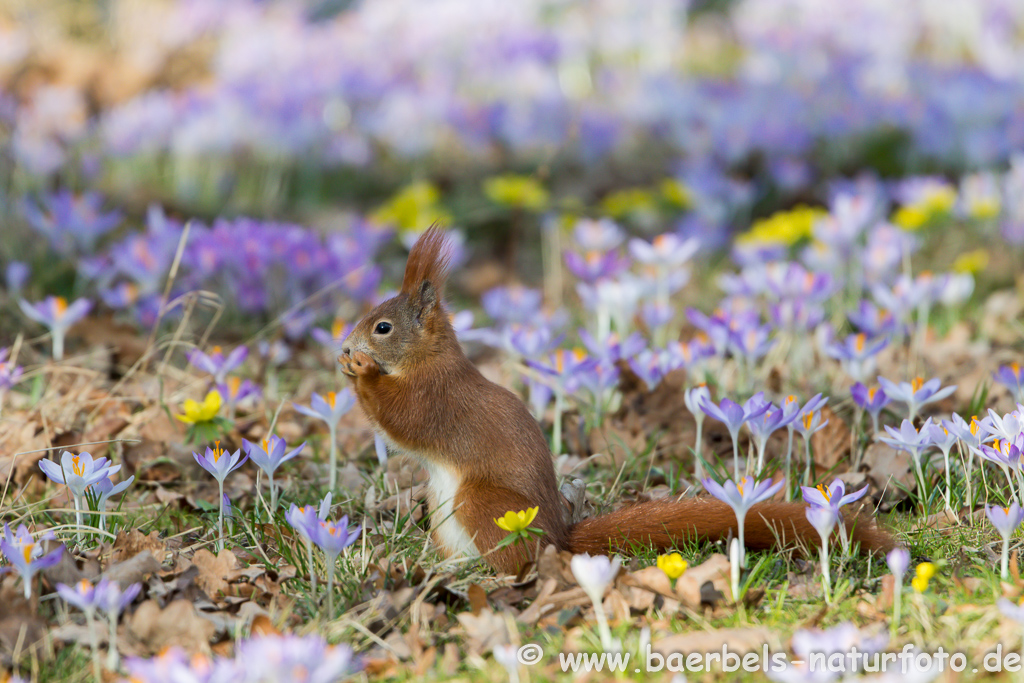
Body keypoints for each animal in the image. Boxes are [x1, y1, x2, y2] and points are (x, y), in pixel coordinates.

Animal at [339, 228, 892, 573]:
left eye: (382, 327)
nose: (346, 345)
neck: (428, 358)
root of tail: (557, 539)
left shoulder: (436, 396)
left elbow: (402, 418)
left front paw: (361, 372)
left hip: (481, 503)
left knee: (513, 561)